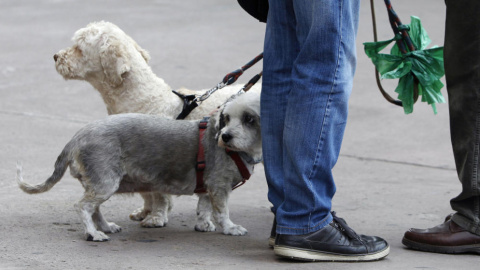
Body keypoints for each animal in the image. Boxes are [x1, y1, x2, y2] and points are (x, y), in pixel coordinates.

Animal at [16, 92, 262, 242]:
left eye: (249, 119)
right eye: (227, 118)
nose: (225, 136)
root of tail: (77, 136)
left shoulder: (208, 186)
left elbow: (204, 207)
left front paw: (204, 224)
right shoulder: (219, 186)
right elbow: (222, 211)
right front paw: (230, 228)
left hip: (99, 183)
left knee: (94, 208)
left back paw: (105, 227)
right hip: (106, 182)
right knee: (83, 206)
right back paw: (93, 234)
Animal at [54, 20, 260, 228]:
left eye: (79, 48)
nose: (56, 57)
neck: (144, 99)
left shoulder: (156, 164)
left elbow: (159, 195)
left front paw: (156, 217)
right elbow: (146, 193)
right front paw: (145, 212)